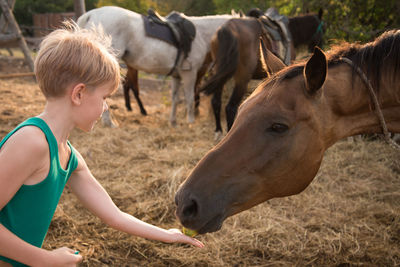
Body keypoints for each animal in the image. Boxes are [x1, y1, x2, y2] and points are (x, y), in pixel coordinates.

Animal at [76, 6, 236, 126]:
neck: (200, 35)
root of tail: (90, 14)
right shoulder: (190, 74)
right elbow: (190, 97)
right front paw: (190, 121)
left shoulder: (177, 76)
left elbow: (175, 98)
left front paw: (173, 122)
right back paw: (109, 123)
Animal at [200, 9, 324, 138]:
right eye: (323, 29)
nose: (322, 45)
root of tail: (227, 29)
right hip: (242, 78)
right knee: (231, 107)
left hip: (220, 74)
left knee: (216, 101)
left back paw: (218, 132)